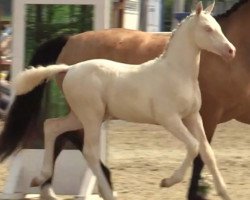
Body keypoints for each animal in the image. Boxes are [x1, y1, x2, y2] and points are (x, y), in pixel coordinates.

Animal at [0, 0, 249, 199]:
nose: (230, 51)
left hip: (82, 115)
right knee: (88, 150)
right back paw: (105, 192)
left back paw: (41, 179)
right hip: (91, 116)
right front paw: (167, 182)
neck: (175, 72)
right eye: (207, 28)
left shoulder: (194, 116)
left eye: (219, 28)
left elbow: (206, 152)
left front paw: (224, 192)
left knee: (52, 127)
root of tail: (69, 67)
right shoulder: (170, 118)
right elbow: (193, 146)